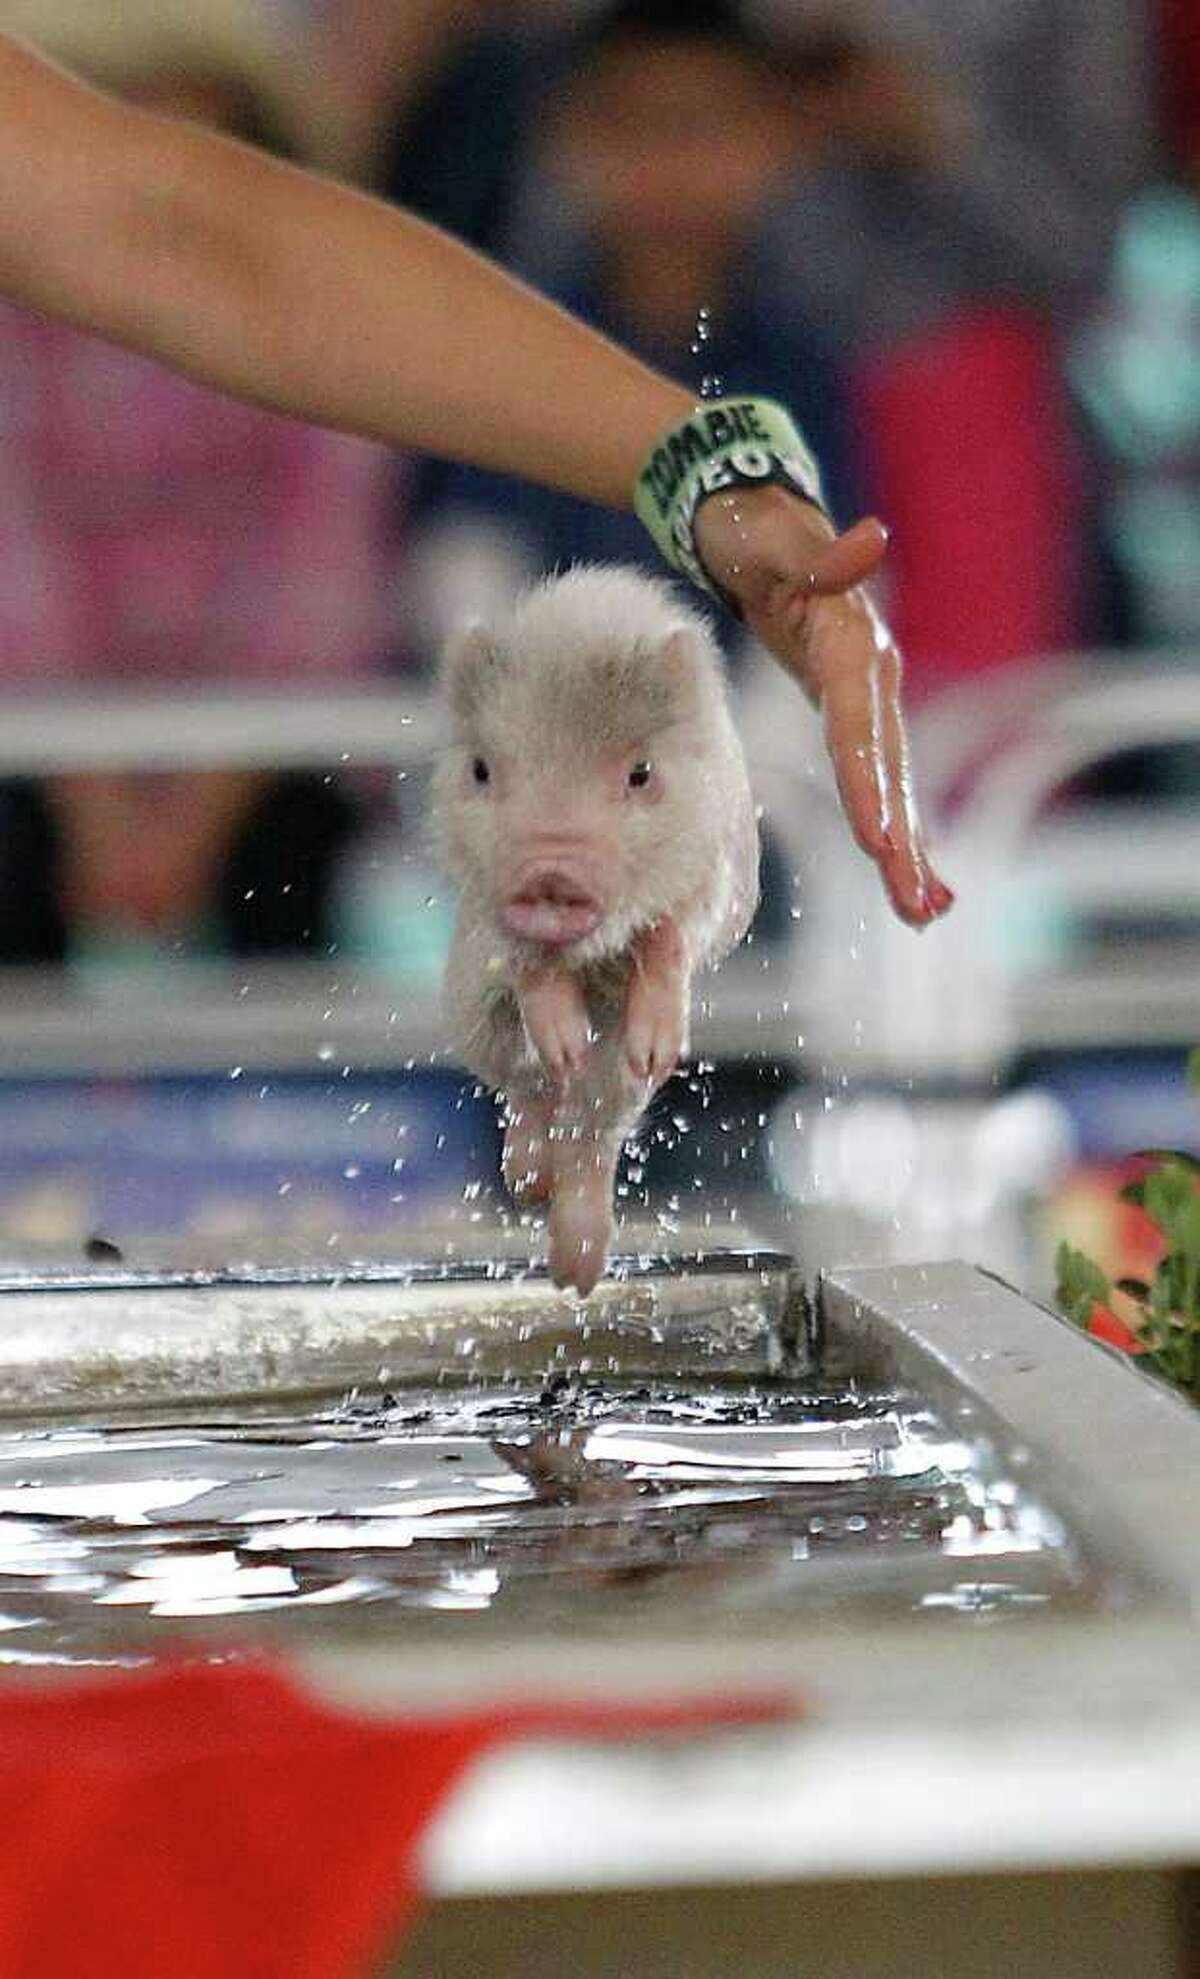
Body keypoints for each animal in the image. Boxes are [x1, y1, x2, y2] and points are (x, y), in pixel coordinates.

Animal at [431, 563, 759, 1296]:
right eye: (482, 769)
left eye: (641, 773)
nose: (550, 872)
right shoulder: (487, 909)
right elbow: (529, 966)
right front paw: (562, 1037)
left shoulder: (713, 873)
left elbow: (669, 934)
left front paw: (653, 1046)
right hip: (469, 1010)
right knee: (522, 1082)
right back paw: (531, 1175)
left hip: (606, 1088)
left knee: (591, 1127)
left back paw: (577, 1274)